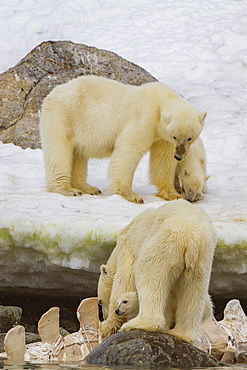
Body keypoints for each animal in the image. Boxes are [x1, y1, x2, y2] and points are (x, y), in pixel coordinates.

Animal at [40, 75, 206, 202]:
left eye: (189, 138)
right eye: (175, 136)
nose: (179, 156)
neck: (160, 99)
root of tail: (51, 93)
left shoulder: (162, 136)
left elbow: (163, 158)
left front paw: (173, 194)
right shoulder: (145, 117)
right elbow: (129, 149)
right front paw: (131, 195)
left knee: (78, 154)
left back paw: (87, 188)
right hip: (63, 116)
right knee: (59, 150)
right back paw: (67, 189)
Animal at [100, 199, 216, 344]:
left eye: (100, 302)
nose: (103, 317)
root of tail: (191, 238)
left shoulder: (128, 246)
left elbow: (125, 279)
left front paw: (109, 326)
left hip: (164, 244)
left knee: (147, 272)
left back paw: (138, 324)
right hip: (201, 258)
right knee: (193, 290)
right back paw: (181, 334)